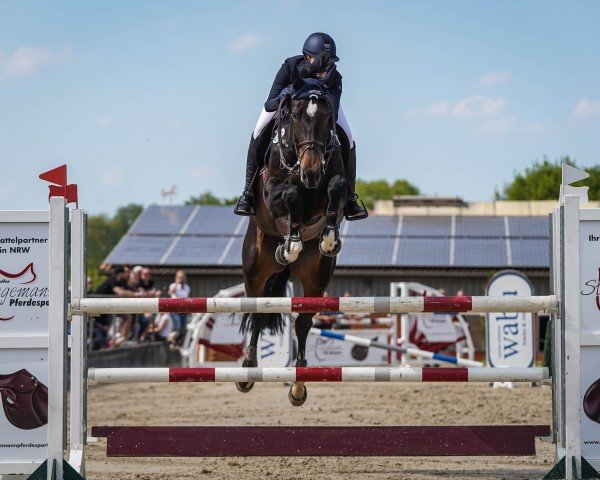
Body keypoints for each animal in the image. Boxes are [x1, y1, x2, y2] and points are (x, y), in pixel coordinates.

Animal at [237, 78, 346, 404]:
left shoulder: (333, 185)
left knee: (303, 323)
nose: (310, 172)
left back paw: (298, 385)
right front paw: (291, 245)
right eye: (295, 116)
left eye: (326, 118)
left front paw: (328, 238)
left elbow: (336, 186)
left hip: (315, 278)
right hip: (255, 270)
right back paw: (247, 371)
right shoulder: (272, 193)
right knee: (256, 314)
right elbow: (291, 194)